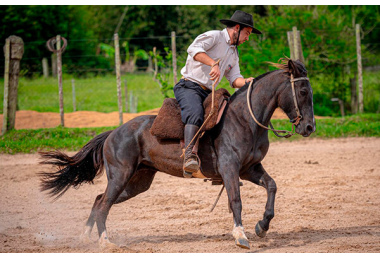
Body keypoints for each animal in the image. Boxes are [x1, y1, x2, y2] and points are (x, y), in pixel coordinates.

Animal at [40, 58, 316, 250]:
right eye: (303, 92)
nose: (309, 127)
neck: (244, 119)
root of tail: (112, 133)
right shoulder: (230, 169)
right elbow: (235, 201)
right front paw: (241, 235)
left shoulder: (250, 169)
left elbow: (272, 186)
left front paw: (262, 226)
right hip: (120, 176)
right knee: (104, 204)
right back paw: (105, 242)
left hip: (137, 182)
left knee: (99, 201)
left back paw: (85, 236)